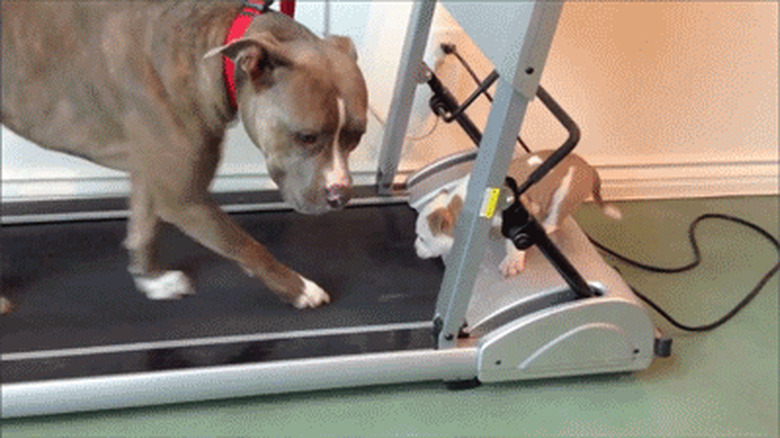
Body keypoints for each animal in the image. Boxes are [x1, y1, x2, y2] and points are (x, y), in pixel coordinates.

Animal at [414, 149, 620, 276]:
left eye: (423, 239)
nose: (415, 248)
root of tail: (590, 168)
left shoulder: (519, 215)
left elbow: (515, 242)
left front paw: (512, 262)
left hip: (564, 194)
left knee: (555, 217)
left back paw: (546, 225)